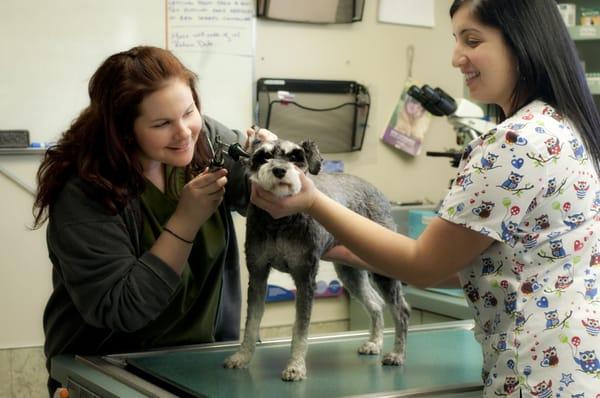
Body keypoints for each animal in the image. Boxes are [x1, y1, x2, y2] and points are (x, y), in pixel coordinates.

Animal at [223, 138, 410, 380]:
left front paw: (295, 367)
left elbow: (300, 329)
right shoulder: (257, 274)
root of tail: (375, 189)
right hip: (350, 273)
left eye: (295, 157)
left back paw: (396, 354)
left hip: (381, 270)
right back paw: (374, 343)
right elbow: (252, 322)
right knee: (376, 304)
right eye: (264, 156)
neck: (279, 222)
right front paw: (242, 357)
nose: (279, 170)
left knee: (401, 311)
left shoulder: (305, 277)